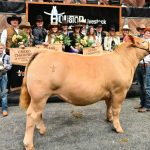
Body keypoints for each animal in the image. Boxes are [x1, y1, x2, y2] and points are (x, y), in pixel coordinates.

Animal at [19, 34, 150, 149]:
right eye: (143, 41)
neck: (124, 61)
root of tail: (43, 52)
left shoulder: (110, 92)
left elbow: (108, 106)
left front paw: (109, 119)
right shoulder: (120, 91)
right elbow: (116, 110)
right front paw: (118, 128)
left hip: (39, 97)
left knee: (38, 113)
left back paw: (42, 130)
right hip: (39, 95)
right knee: (32, 114)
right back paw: (29, 144)